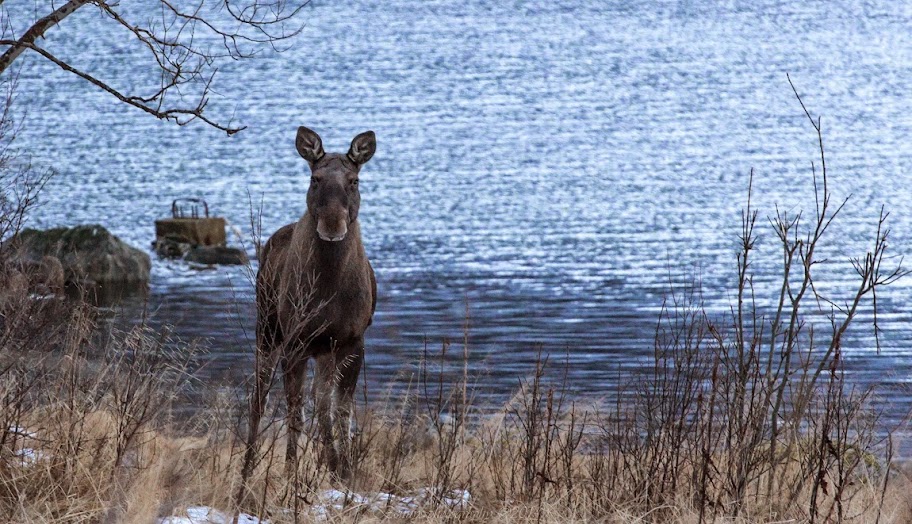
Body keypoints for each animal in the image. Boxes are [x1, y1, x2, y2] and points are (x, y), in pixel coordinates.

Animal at [240, 127, 376, 488]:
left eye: (354, 180)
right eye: (315, 178)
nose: (332, 225)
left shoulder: (351, 341)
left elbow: (340, 412)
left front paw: (344, 471)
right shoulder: (297, 342)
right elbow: (296, 412)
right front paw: (293, 472)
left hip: (322, 350)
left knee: (320, 401)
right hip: (267, 329)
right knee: (259, 398)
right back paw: (246, 470)